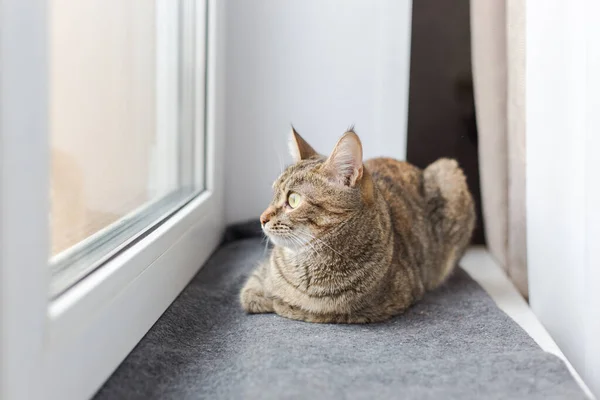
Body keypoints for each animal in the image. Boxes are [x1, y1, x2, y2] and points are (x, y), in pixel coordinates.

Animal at [239, 130, 474, 324]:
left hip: (448, 171)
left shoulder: (373, 307)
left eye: (293, 200)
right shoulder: (261, 274)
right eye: (274, 194)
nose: (262, 218)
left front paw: (277, 301)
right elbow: (251, 293)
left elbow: (296, 307)